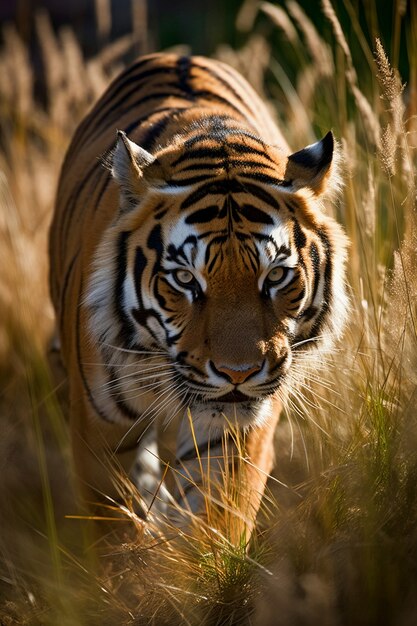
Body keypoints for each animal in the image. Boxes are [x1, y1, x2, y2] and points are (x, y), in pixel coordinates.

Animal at [49, 51, 348, 532]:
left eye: (275, 277)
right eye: (186, 279)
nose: (238, 375)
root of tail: (177, 54)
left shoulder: (235, 433)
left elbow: (215, 520)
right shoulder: (98, 433)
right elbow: (114, 526)